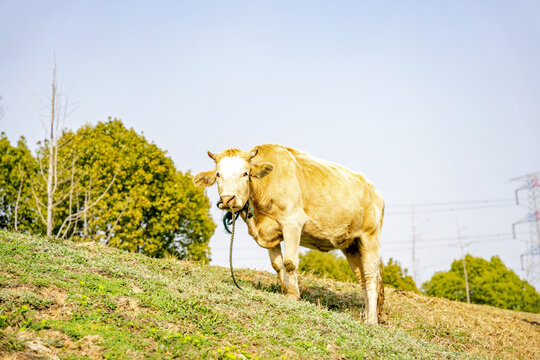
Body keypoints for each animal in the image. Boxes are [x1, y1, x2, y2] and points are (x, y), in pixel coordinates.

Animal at [194, 143, 384, 324]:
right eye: (218, 174)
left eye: (245, 173)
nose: (227, 199)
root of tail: (373, 190)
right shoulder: (268, 233)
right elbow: (278, 265)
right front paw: (285, 292)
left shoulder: (293, 223)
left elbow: (290, 262)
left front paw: (293, 295)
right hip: (351, 245)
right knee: (363, 279)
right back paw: (367, 316)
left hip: (369, 237)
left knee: (371, 277)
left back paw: (371, 321)